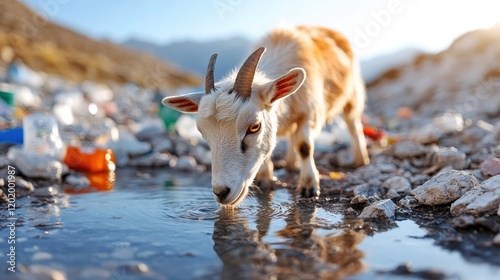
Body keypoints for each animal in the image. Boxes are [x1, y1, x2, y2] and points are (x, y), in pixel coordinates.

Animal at [162, 25, 370, 207]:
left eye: (254, 127)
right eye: (203, 134)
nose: (221, 193)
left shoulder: (310, 113)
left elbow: (305, 146)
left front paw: (310, 185)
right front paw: (264, 178)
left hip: (353, 94)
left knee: (352, 123)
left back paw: (361, 159)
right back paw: (290, 163)